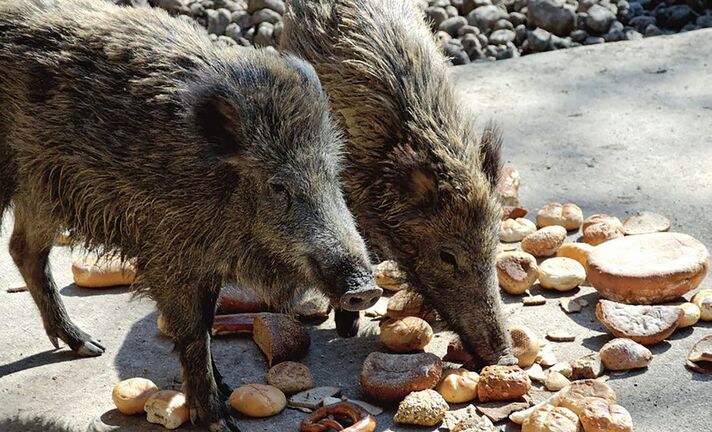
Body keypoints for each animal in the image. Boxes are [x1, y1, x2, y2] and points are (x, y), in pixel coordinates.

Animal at [0, 0, 381, 430]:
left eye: (333, 175)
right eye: (278, 186)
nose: (366, 288)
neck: (215, 184)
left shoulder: (205, 262)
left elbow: (208, 324)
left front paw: (226, 389)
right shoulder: (169, 256)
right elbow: (194, 331)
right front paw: (218, 419)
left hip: (41, 192)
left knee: (23, 250)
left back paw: (89, 346)